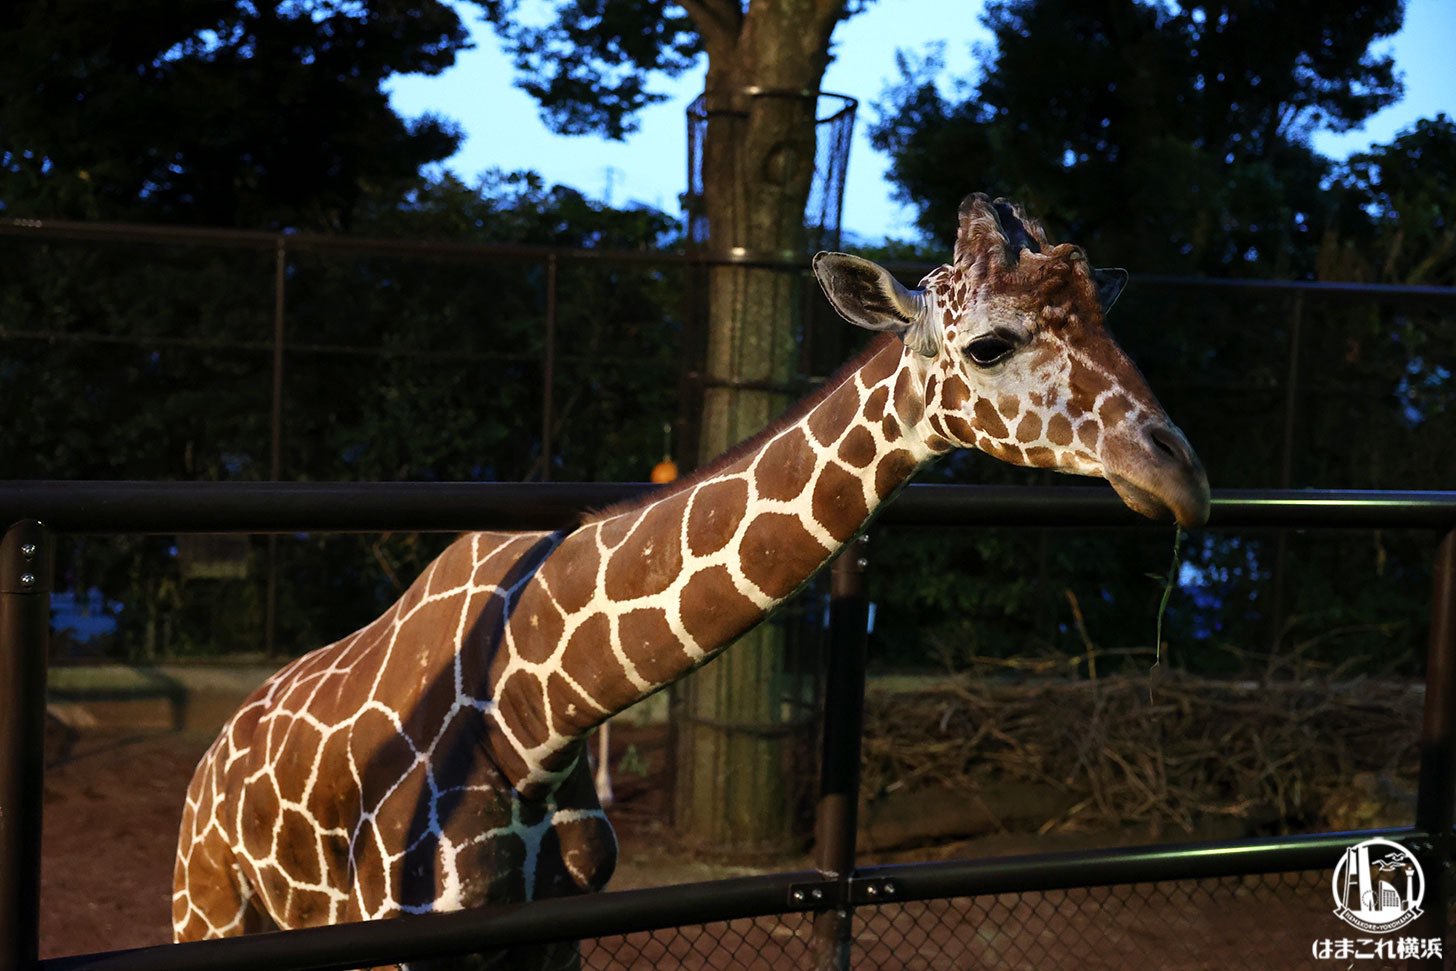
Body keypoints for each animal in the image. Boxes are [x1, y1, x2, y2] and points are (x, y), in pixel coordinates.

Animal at [173, 193, 1217, 966]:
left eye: (1106, 320)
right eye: (991, 343)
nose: (1182, 475)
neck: (534, 715)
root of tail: (208, 767)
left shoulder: (554, 931)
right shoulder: (412, 941)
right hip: (211, 915)